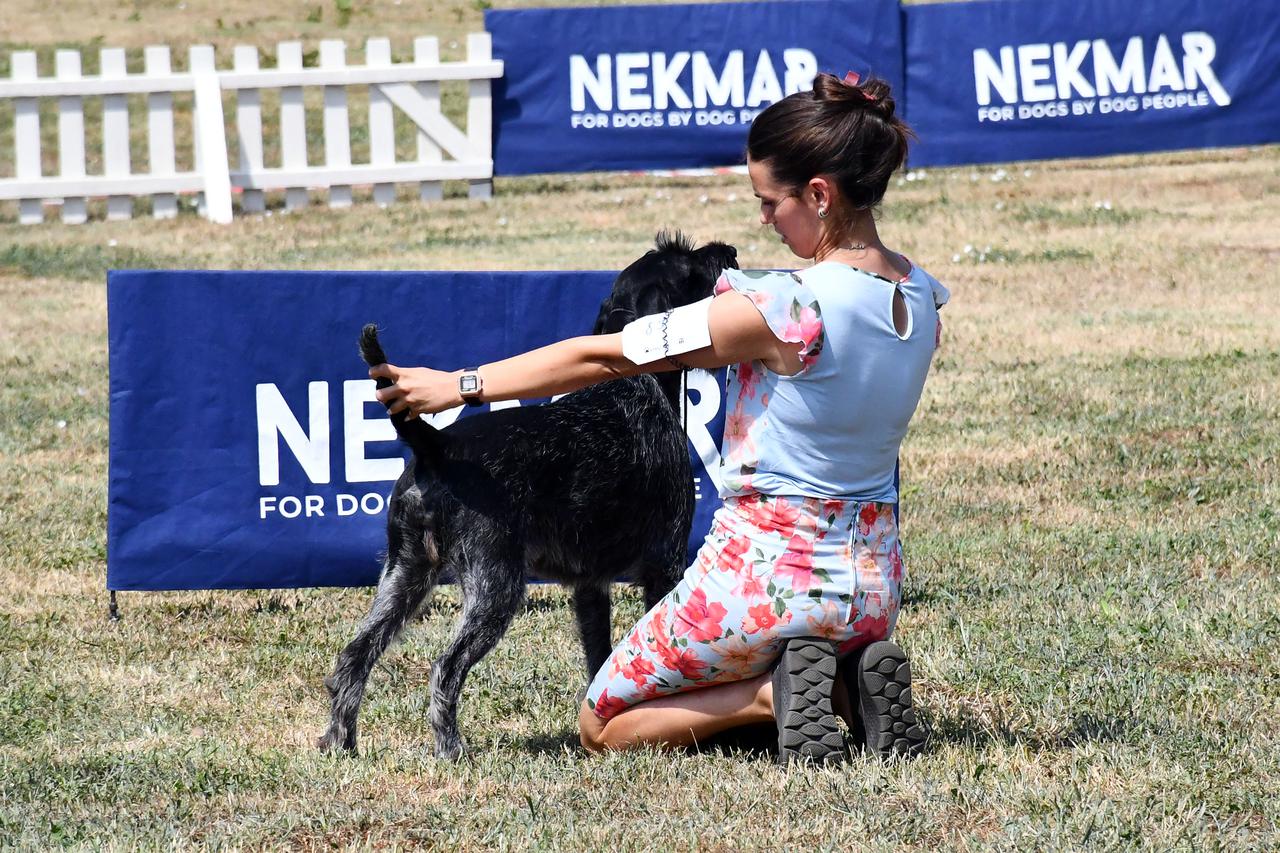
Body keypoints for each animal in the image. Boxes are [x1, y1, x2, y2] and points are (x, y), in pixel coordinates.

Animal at [320, 229, 742, 753]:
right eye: (687, 265)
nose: (731, 252)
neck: (635, 382)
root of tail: (436, 446)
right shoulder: (663, 562)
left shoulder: (590, 584)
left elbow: (598, 657)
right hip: (496, 587)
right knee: (445, 669)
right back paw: (450, 750)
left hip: (406, 575)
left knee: (354, 656)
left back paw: (340, 743)